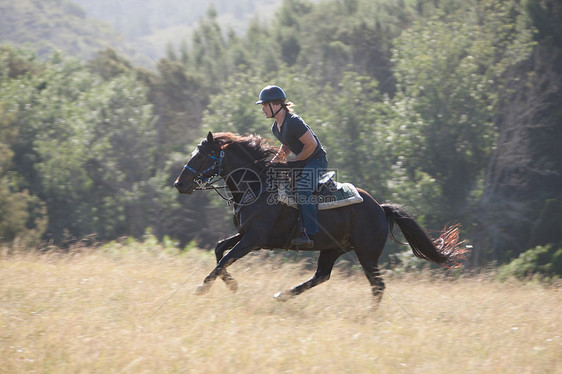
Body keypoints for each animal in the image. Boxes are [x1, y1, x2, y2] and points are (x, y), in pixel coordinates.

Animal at [174, 131, 464, 304]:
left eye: (203, 155)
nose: (179, 184)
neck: (257, 185)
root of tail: (381, 209)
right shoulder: (246, 234)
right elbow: (219, 250)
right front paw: (232, 285)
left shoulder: (254, 239)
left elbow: (225, 258)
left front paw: (202, 288)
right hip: (332, 249)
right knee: (322, 276)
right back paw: (282, 295)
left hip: (367, 254)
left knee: (378, 286)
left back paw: (369, 317)